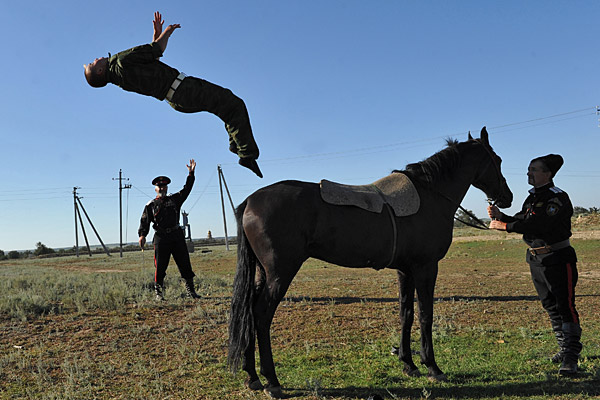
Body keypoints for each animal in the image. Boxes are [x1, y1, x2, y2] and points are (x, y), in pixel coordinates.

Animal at [227, 127, 512, 396]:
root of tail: (250, 201)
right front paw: (432, 367)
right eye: (497, 159)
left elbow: (406, 313)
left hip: (264, 273)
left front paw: (409, 364)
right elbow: (425, 315)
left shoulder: (406, 271)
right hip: (280, 273)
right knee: (261, 315)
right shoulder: (426, 268)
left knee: (249, 312)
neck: (430, 195)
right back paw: (272, 381)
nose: (507, 198)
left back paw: (252, 376)